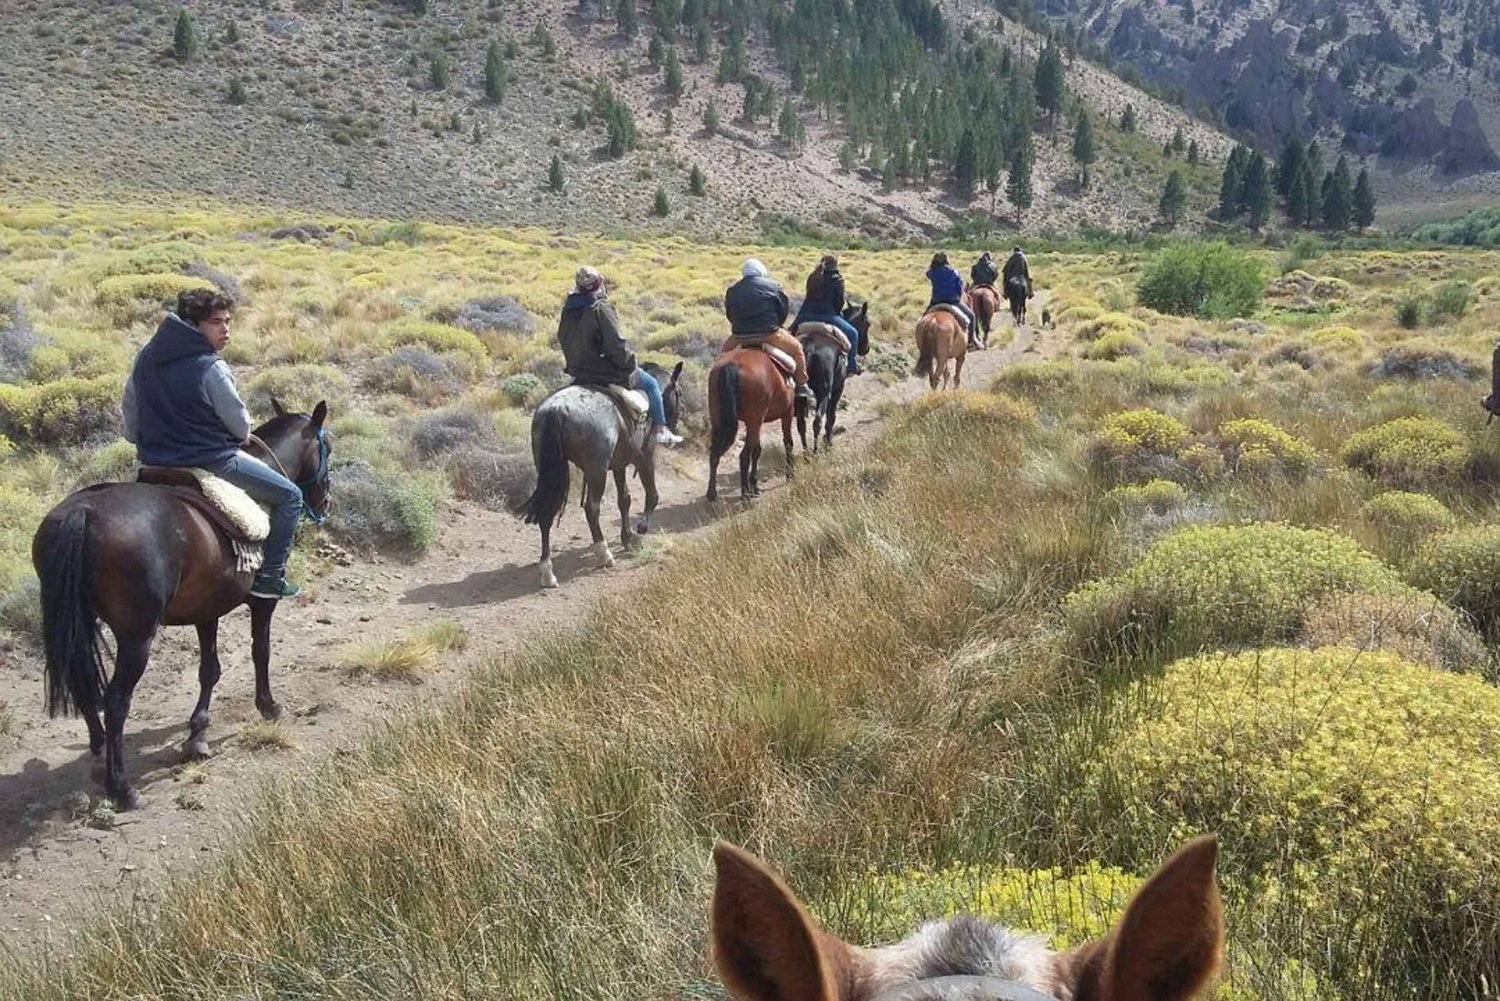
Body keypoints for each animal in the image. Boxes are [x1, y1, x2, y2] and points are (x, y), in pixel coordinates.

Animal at [33, 396, 331, 804]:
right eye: (327, 447)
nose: (326, 499)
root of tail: (82, 513)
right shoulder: (262, 602)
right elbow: (261, 650)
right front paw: (268, 705)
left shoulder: (207, 609)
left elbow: (210, 668)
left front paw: (198, 731)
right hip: (137, 636)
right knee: (116, 700)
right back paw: (121, 787)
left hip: (79, 621)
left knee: (83, 679)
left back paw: (98, 745)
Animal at [522, 364, 687, 591]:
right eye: (678, 393)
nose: (676, 423)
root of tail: (556, 409)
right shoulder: (645, 457)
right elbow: (652, 495)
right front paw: (641, 528)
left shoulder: (618, 465)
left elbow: (624, 499)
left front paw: (627, 537)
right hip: (596, 471)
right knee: (592, 509)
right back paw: (604, 554)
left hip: (550, 472)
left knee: (547, 513)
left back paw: (547, 572)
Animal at [705, 348, 798, 501]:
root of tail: (732, 365)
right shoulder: (787, 412)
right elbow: (788, 442)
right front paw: (790, 475)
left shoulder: (754, 423)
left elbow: (757, 450)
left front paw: (755, 486)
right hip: (756, 420)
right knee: (743, 456)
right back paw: (744, 494)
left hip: (719, 420)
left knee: (714, 455)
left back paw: (712, 493)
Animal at [798, 300, 870, 453]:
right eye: (868, 323)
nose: (866, 348)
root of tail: (810, 346)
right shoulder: (838, 387)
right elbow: (832, 415)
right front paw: (828, 440)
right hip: (823, 393)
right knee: (817, 421)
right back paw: (815, 452)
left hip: (799, 396)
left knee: (801, 423)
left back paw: (805, 453)